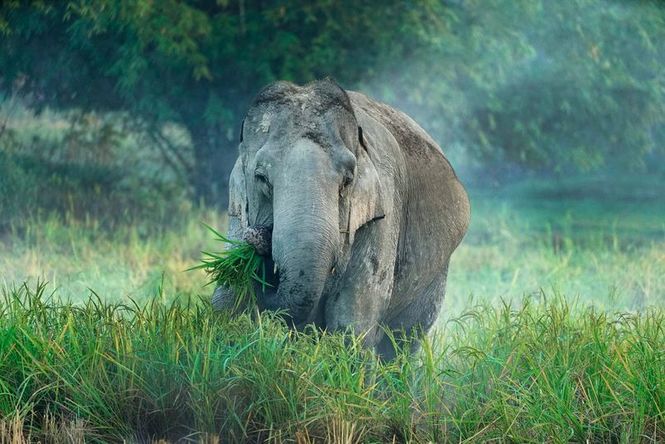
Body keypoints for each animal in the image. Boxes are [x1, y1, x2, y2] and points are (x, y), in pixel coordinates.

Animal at [211, 79, 466, 358]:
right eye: (261, 178)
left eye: (347, 180)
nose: (258, 237)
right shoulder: (237, 216)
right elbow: (226, 303)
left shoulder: (382, 216)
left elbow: (351, 324)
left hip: (436, 274)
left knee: (403, 341)